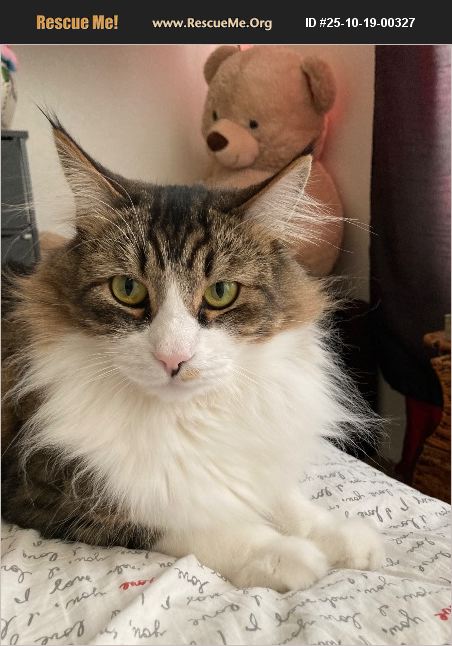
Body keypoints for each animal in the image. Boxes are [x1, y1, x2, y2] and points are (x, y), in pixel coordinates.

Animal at [1, 116, 384, 592]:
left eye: (221, 292)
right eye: (128, 289)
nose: (173, 358)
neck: (189, 418)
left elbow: (284, 499)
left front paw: (342, 535)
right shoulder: (46, 488)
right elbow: (185, 517)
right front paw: (281, 555)